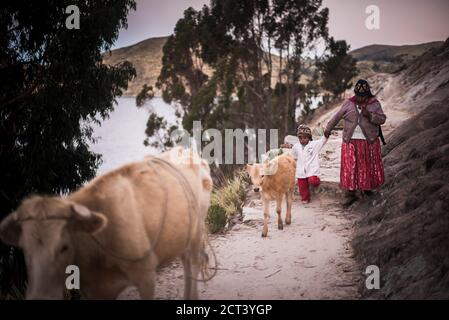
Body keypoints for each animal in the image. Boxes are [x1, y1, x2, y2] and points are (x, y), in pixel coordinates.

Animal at [0, 148, 213, 300]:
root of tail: (186, 151)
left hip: (197, 231)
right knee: (185, 260)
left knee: (193, 263)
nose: (41, 297)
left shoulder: (146, 275)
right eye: (24, 250)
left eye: (64, 247)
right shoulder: (95, 290)